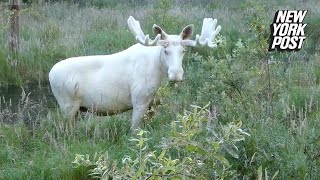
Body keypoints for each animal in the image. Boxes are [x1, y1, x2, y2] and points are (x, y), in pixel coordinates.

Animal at [48, 15, 221, 132]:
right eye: (165, 50)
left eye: (183, 51)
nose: (176, 74)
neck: (159, 76)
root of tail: (50, 73)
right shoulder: (139, 101)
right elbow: (134, 131)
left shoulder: (153, 105)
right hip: (67, 105)